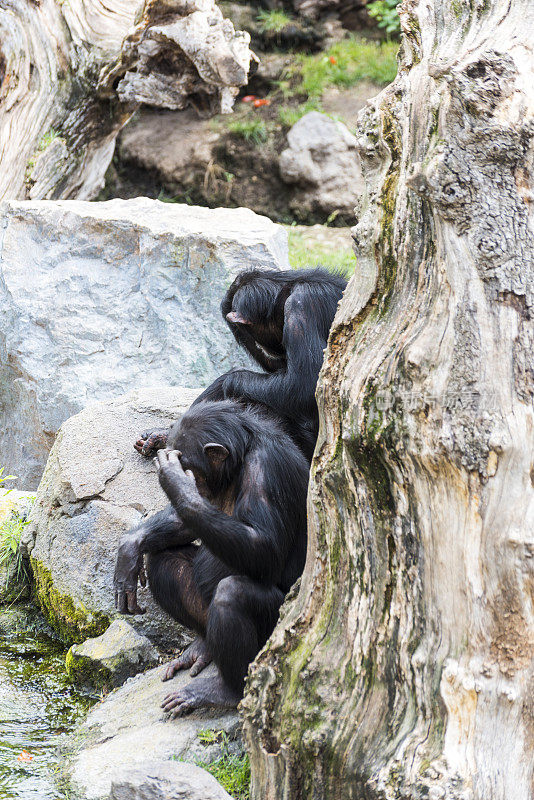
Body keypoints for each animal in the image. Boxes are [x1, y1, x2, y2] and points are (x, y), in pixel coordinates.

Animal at [115, 400, 312, 712]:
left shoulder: (267, 469)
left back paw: (224, 691)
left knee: (231, 594)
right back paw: (202, 646)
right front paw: (129, 549)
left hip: (278, 628)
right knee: (162, 560)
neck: (240, 461)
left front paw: (176, 483)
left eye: (187, 466)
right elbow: (185, 520)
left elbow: (263, 545)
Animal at [136, 268, 350, 462]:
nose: (266, 348)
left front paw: (230, 378)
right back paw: (161, 436)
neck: (286, 292)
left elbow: (303, 384)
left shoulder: (303, 305)